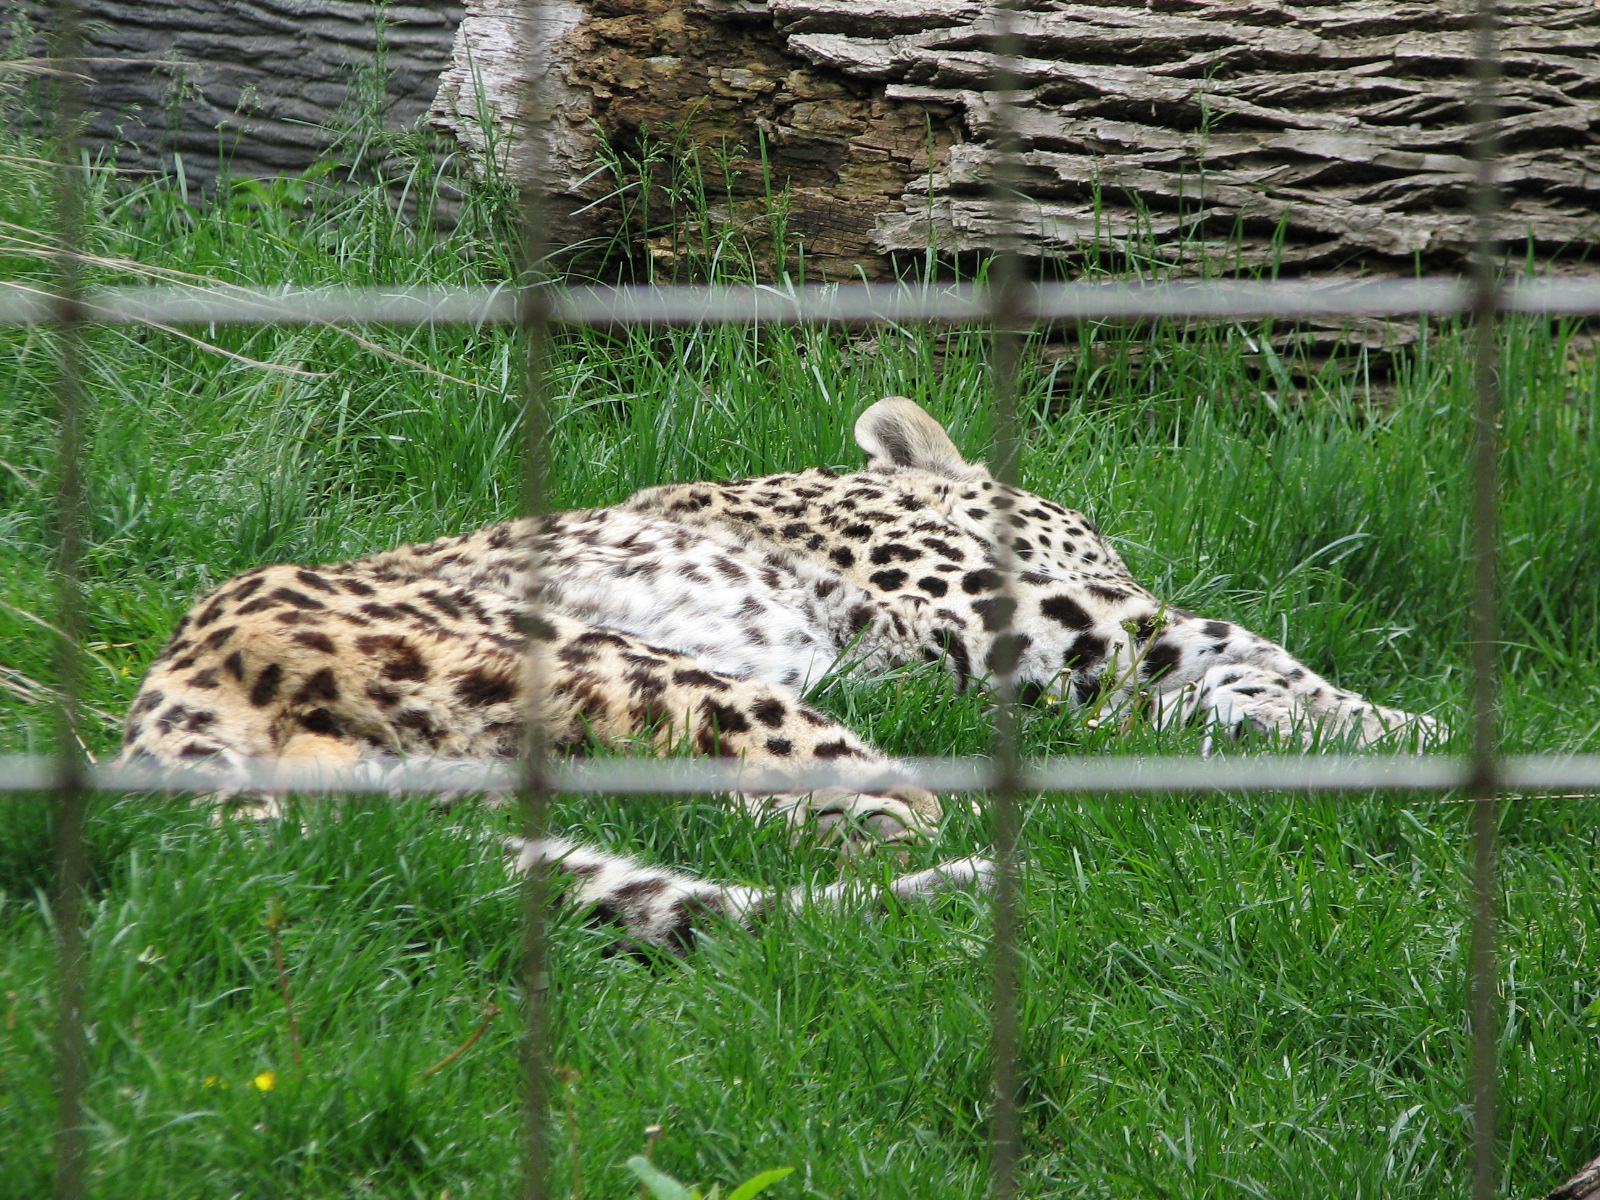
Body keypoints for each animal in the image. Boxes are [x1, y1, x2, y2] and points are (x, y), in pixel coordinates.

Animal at [119, 396, 1439, 950]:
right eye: (1092, 534)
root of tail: (165, 689)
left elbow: (1221, 657)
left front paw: (1362, 726)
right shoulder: (1022, 619)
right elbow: (1203, 636)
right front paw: (1407, 730)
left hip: (439, 801)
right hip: (642, 668)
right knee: (870, 811)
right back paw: (997, 869)